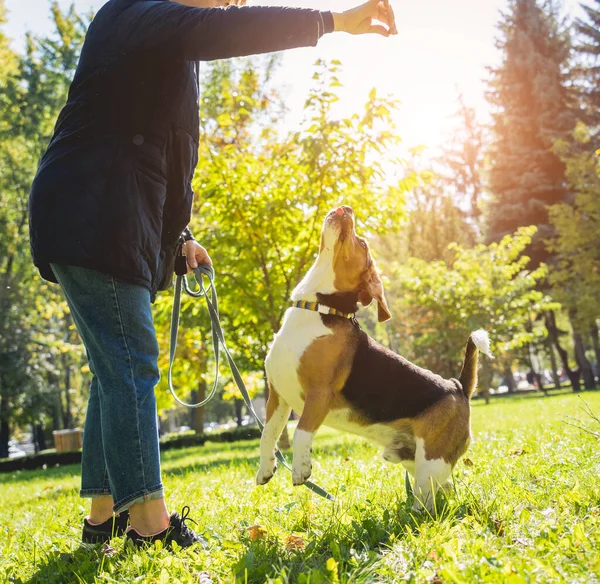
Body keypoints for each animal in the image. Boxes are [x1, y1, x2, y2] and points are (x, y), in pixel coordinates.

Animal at [258, 206, 492, 512]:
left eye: (362, 243)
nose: (346, 208)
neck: (318, 308)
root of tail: (457, 386)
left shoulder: (318, 394)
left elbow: (300, 433)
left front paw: (300, 469)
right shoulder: (278, 397)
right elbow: (267, 435)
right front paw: (265, 469)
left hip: (431, 462)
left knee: (428, 499)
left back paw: (416, 516)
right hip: (414, 460)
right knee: (445, 488)